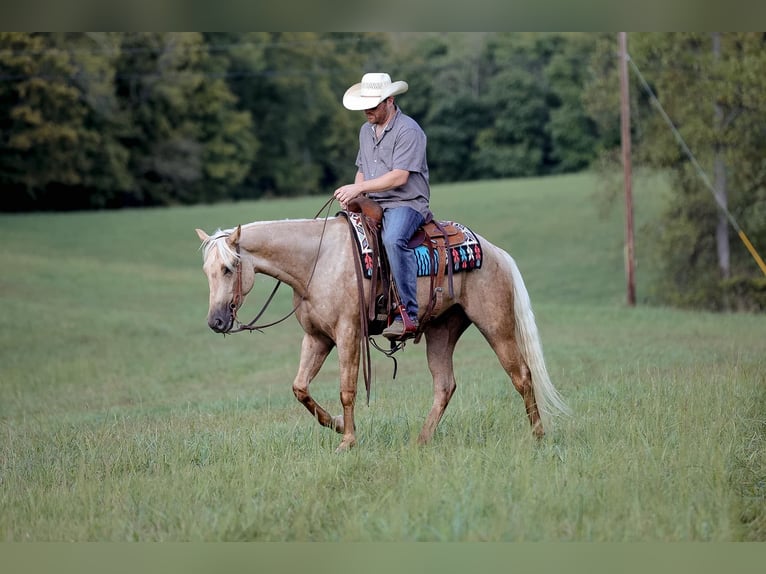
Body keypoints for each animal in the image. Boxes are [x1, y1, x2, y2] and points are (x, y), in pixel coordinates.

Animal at [195, 212, 570, 452]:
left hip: (496, 325)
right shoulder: (317, 337)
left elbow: (347, 389)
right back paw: (421, 441)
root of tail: (494, 252)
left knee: (522, 376)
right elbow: (300, 388)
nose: (215, 322)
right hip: (441, 331)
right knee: (445, 386)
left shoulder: (347, 333)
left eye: (228, 268)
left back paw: (538, 436)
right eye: (207, 271)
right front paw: (337, 424)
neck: (317, 261)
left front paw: (347, 441)